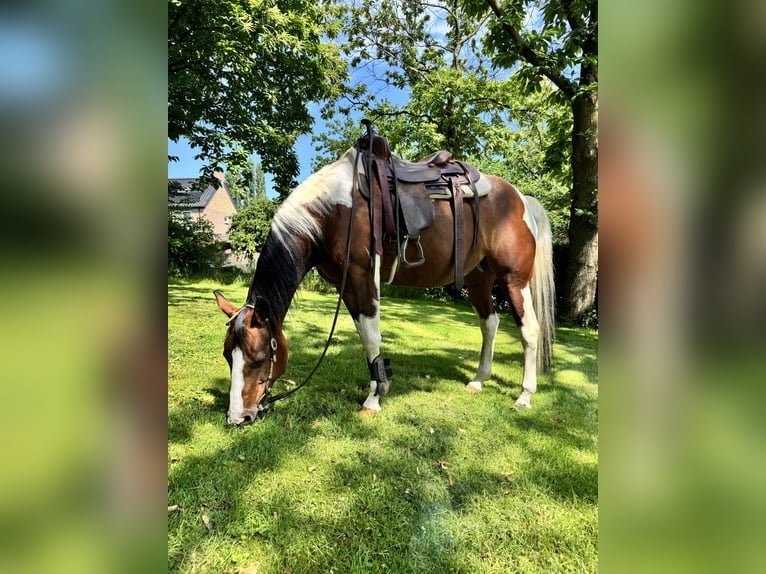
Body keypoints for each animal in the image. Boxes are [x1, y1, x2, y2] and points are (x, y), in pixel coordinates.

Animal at [213, 137, 555, 426]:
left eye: (259, 358)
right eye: (228, 355)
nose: (238, 418)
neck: (334, 212)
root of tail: (521, 198)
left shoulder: (363, 277)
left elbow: (373, 336)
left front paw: (374, 399)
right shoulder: (346, 286)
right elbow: (365, 336)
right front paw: (376, 384)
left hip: (513, 279)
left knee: (529, 329)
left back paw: (524, 396)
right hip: (479, 280)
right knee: (490, 323)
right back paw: (479, 380)